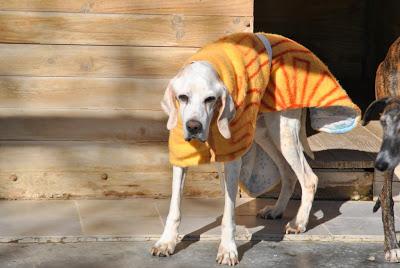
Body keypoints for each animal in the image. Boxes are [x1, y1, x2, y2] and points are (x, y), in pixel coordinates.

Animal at [152, 32, 360, 264]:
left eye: (210, 99)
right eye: (183, 97)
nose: (194, 127)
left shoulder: (233, 160)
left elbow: (228, 214)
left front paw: (228, 249)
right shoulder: (180, 157)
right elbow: (174, 208)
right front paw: (166, 242)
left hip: (283, 133)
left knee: (309, 178)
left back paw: (298, 223)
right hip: (264, 134)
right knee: (288, 173)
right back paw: (277, 210)